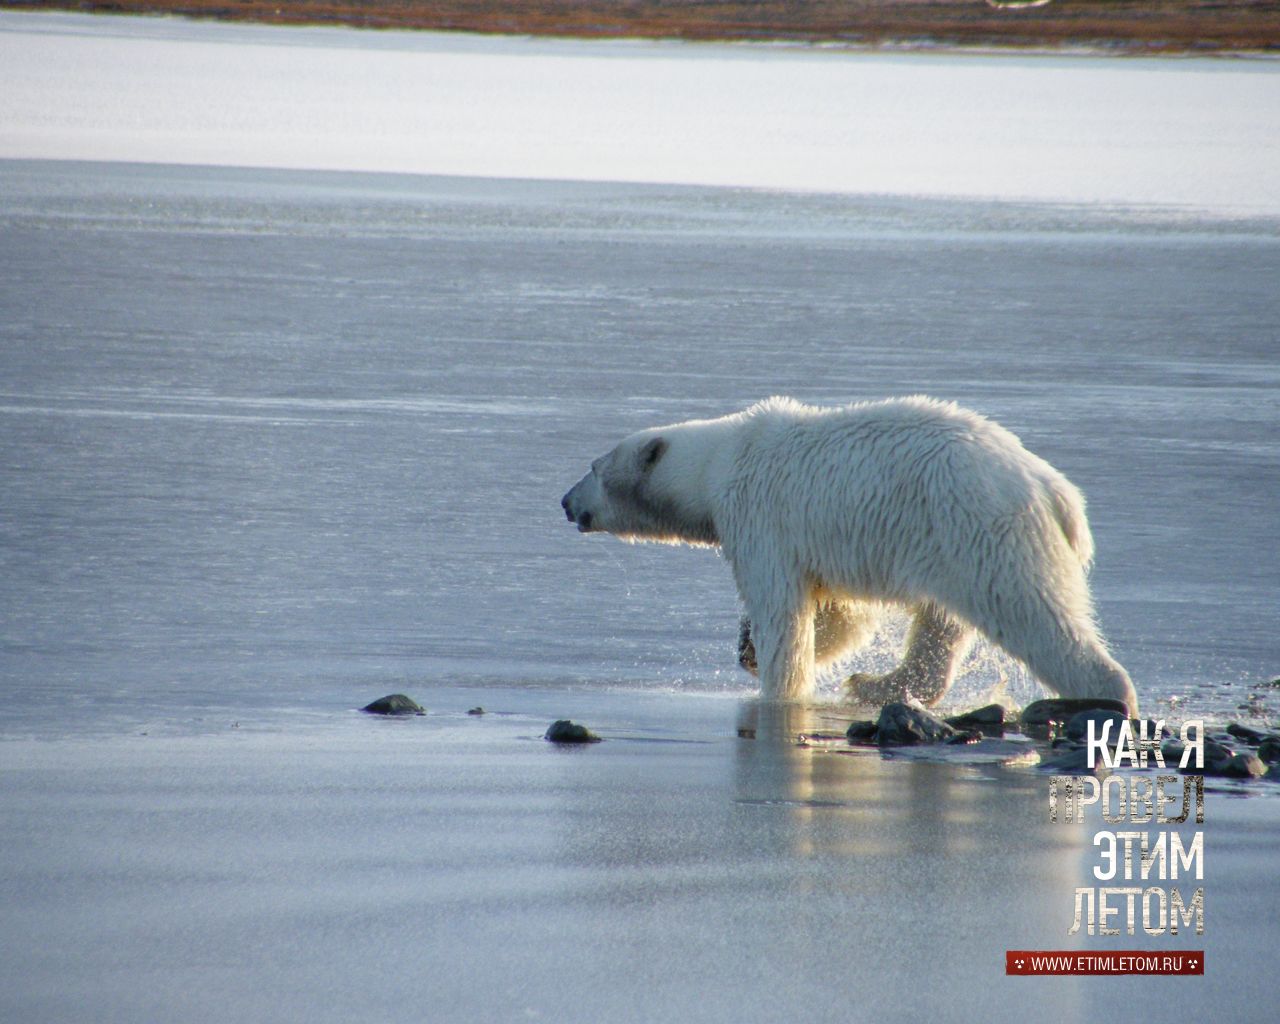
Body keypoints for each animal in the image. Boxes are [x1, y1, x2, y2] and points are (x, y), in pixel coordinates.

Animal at [560, 396, 1141, 716]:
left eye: (592, 467)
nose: (566, 502)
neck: (722, 460)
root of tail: (1054, 489)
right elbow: (843, 614)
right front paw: (751, 648)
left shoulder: (761, 517)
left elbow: (785, 614)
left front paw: (776, 684)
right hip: (948, 542)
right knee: (941, 625)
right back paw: (876, 684)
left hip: (980, 524)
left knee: (1032, 614)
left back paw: (1106, 696)